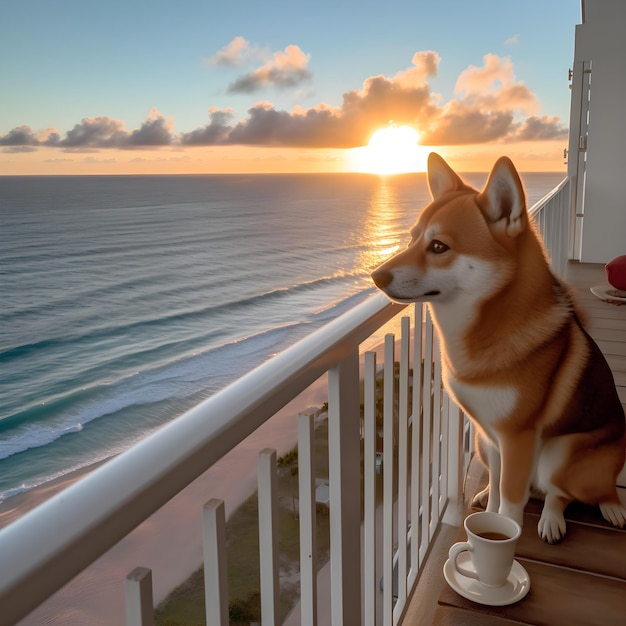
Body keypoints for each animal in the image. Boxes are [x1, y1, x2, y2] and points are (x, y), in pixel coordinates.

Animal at [370, 152, 624, 540]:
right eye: (412, 239)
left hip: (561, 454)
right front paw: (485, 518)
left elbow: (510, 507)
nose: (375, 276)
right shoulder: (490, 436)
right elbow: (496, 499)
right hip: (482, 444)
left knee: (563, 493)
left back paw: (577, 513)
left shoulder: (517, 439)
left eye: (439, 246)